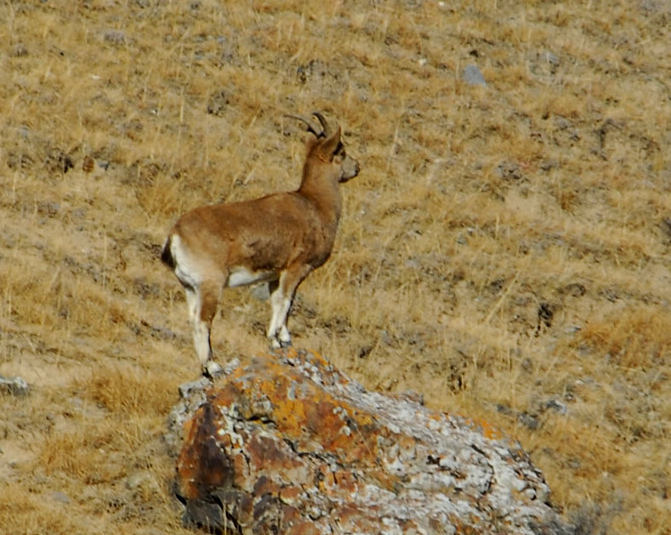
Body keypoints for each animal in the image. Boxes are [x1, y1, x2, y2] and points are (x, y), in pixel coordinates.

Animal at [161, 113, 360, 376]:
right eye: (342, 152)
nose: (357, 167)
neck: (315, 204)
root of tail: (175, 235)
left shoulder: (276, 276)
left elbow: (281, 301)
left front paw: (281, 339)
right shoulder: (296, 268)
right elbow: (284, 301)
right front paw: (276, 339)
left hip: (190, 287)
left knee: (193, 319)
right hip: (211, 285)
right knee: (203, 321)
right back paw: (213, 366)